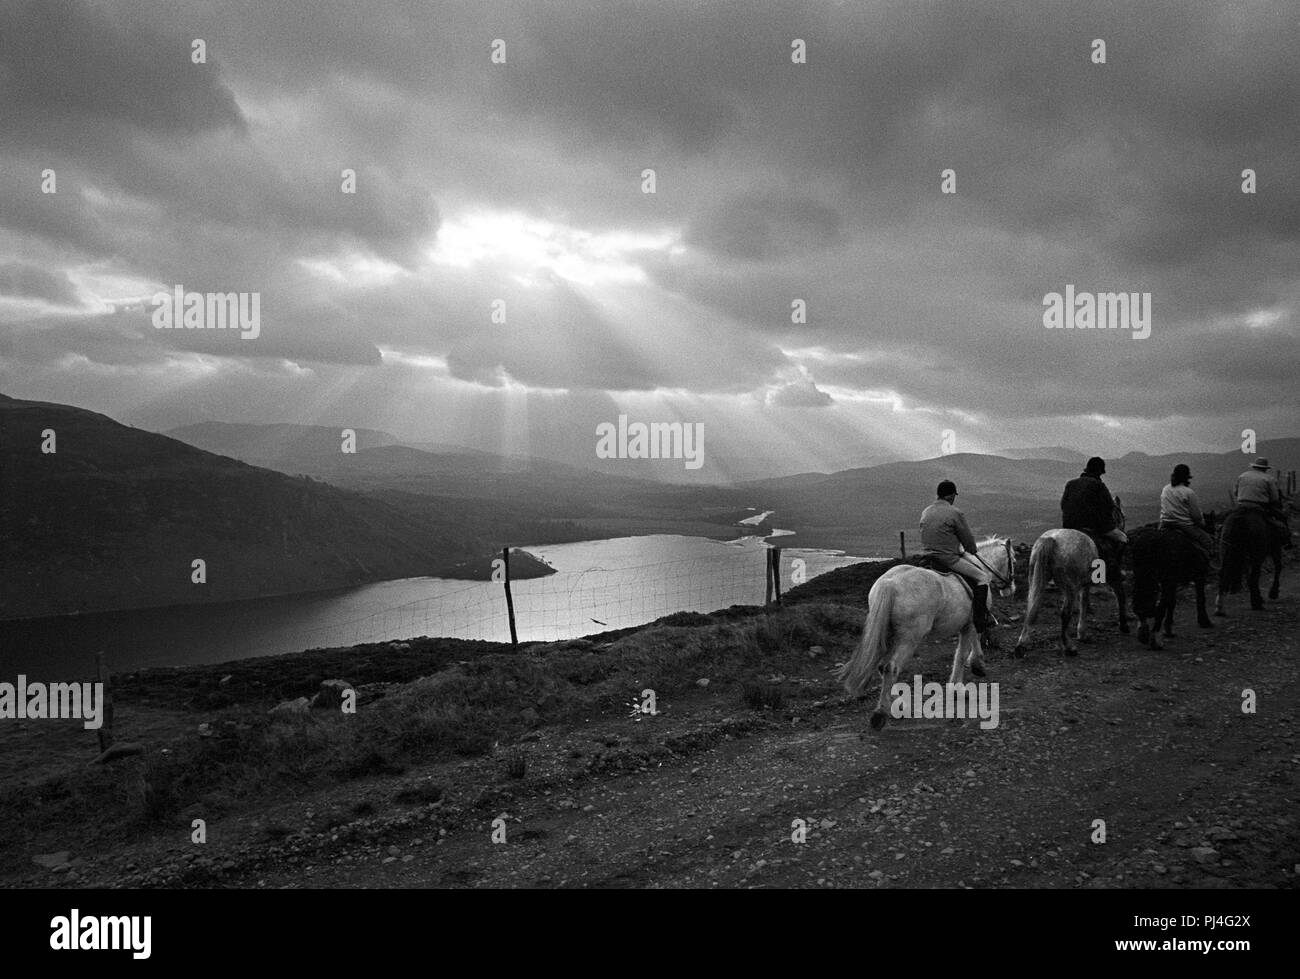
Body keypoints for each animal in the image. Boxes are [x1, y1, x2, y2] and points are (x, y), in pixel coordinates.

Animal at [832, 538, 1013, 728]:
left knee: (883, 666)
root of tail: (890, 584)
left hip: (889, 635)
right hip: (909, 638)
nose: (1010, 588)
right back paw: (880, 713)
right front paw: (961, 685)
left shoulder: (968, 625)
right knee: (891, 667)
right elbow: (962, 653)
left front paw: (976, 667)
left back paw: (898, 706)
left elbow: (970, 645)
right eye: (1013, 561)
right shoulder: (971, 623)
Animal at [1128, 512, 1216, 650]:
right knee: (1159, 606)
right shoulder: (1199, 577)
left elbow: (1172, 602)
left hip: (1143, 577)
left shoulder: (1173, 582)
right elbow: (1201, 599)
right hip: (1164, 580)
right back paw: (1155, 639)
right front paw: (1204, 621)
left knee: (1142, 604)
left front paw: (1169, 628)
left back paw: (1143, 632)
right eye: (1212, 526)